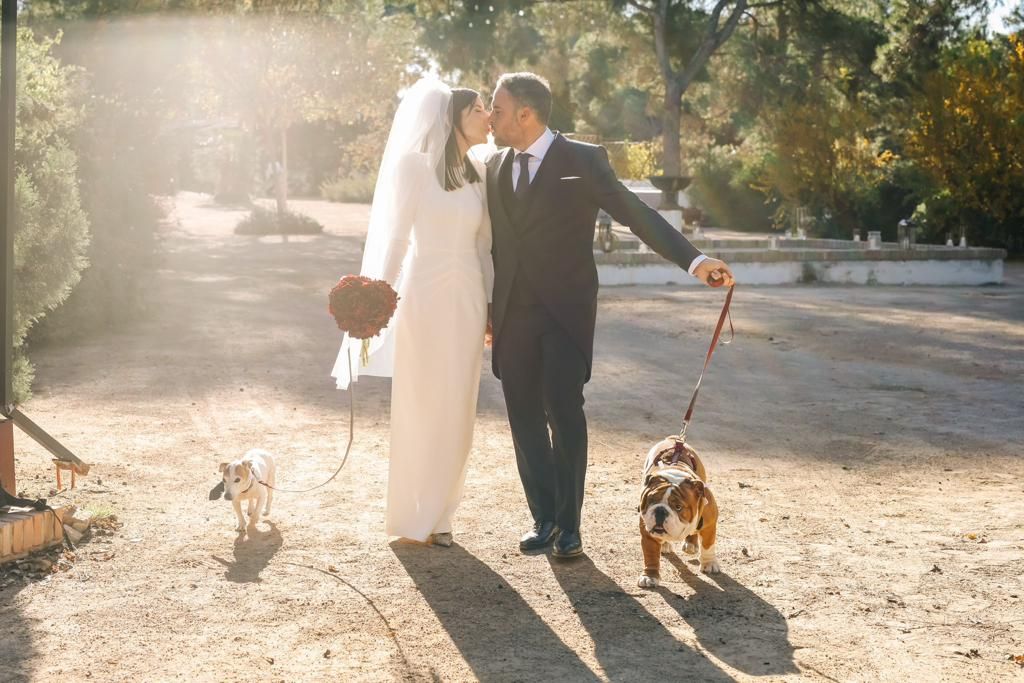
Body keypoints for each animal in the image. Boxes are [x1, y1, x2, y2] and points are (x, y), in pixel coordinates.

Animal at [634, 438, 716, 589]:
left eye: (678, 507)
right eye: (651, 500)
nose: (660, 510)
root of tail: (673, 438)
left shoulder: (710, 524)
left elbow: (708, 545)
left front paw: (709, 564)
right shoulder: (648, 534)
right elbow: (650, 555)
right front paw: (649, 577)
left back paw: (691, 544)